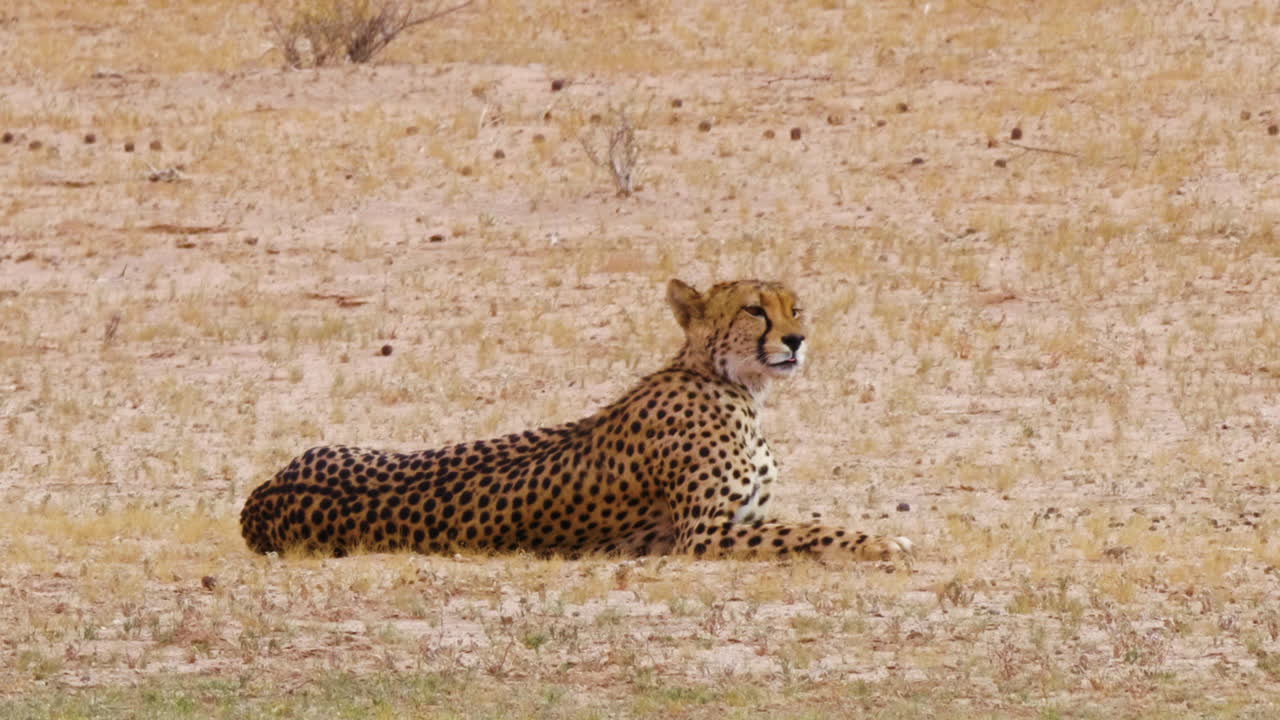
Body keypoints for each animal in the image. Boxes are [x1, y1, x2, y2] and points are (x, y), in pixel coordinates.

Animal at [240, 278, 913, 561]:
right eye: (755, 310)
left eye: (796, 307)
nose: (797, 340)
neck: (731, 384)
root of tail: (259, 500)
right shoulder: (705, 535)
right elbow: (812, 531)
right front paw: (882, 543)